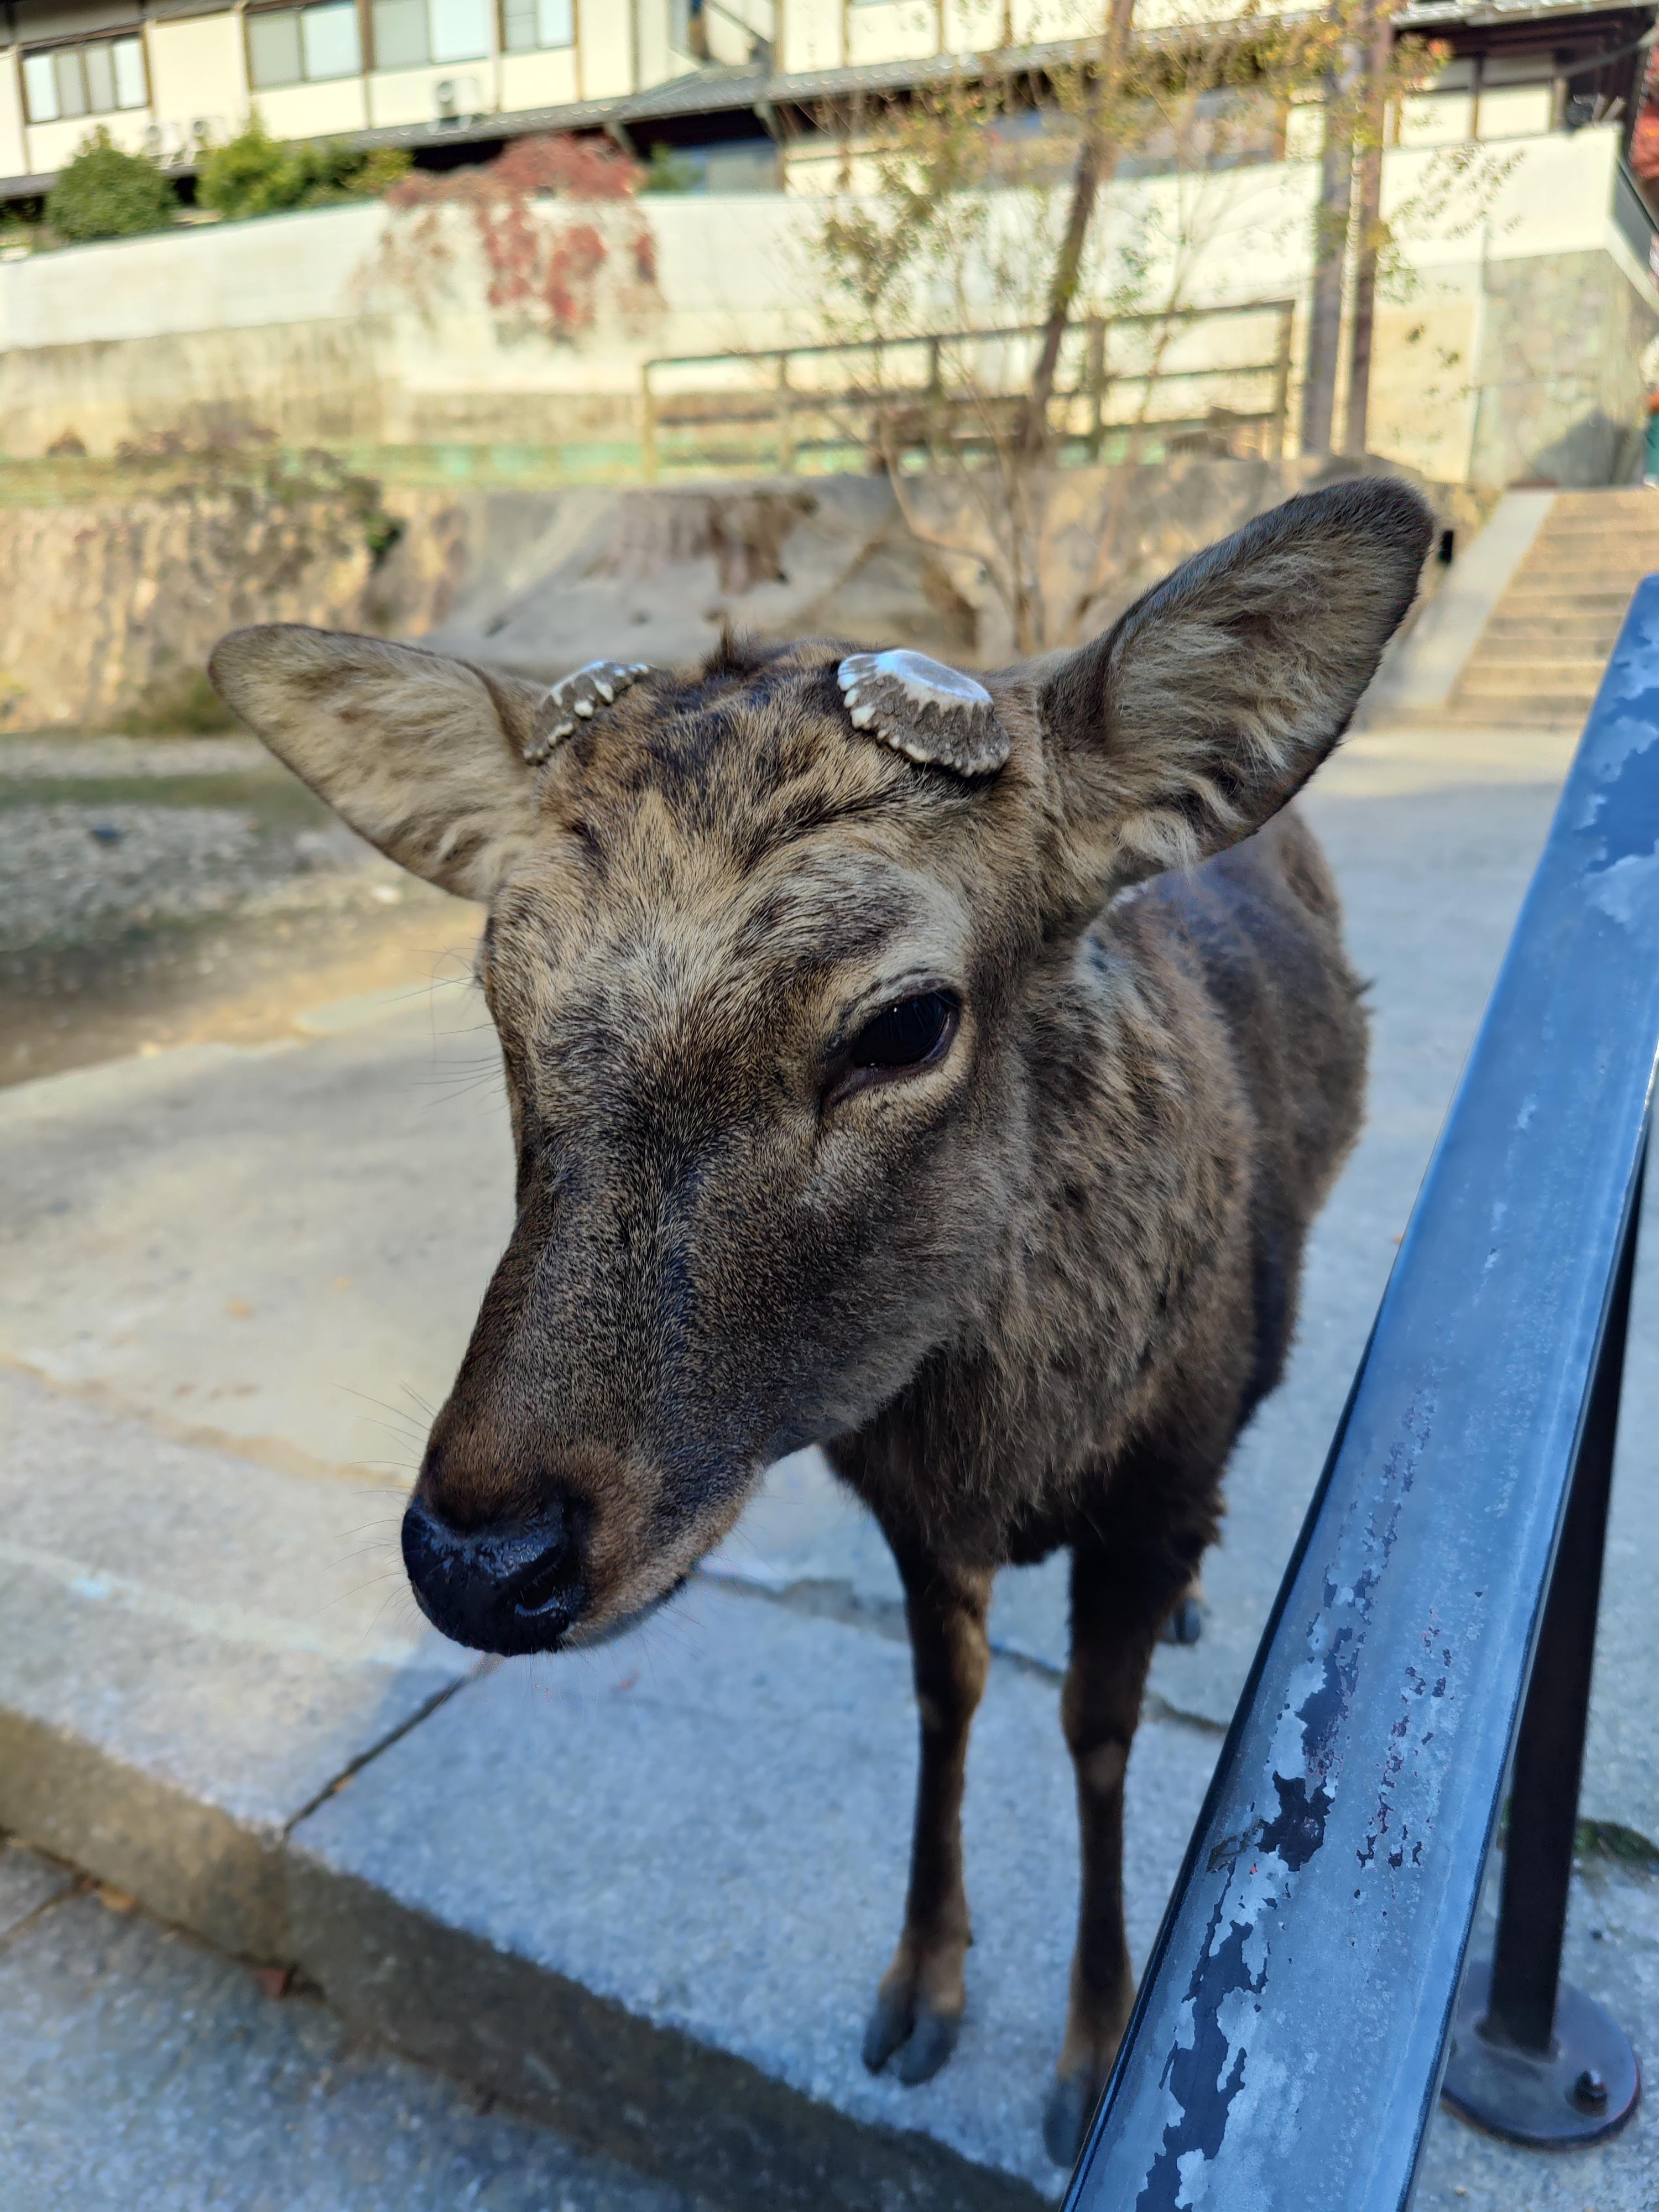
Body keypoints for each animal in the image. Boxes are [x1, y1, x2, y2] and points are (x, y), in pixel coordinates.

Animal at [208, 480, 1433, 2159]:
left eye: (904, 1021)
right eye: (500, 994)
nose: (481, 1559)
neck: (1011, 1448)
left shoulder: (1152, 1483)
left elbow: (1097, 1734)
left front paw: (1089, 2054)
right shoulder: (905, 1504)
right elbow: (946, 1696)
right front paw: (920, 1987)